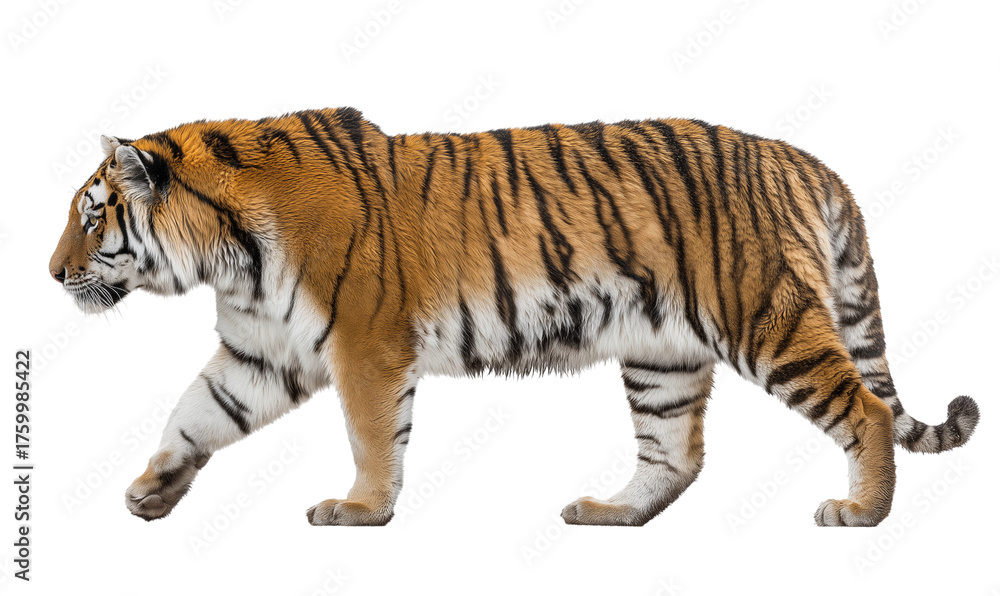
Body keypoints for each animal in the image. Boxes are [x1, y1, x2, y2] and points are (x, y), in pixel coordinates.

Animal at [49, 107, 980, 527]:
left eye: (92, 219)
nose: (52, 275)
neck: (229, 256)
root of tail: (800, 157)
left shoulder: (365, 344)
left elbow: (371, 436)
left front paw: (360, 511)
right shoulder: (260, 351)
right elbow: (196, 413)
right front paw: (152, 488)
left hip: (765, 319)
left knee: (865, 409)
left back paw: (860, 514)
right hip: (662, 354)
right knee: (676, 456)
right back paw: (610, 514)